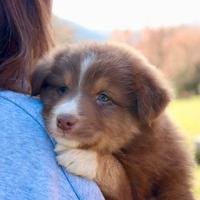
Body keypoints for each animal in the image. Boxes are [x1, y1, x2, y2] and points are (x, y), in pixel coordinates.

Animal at [31, 42, 194, 200]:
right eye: (62, 88)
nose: (64, 121)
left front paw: (82, 157)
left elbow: (119, 176)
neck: (131, 142)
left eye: (104, 97)